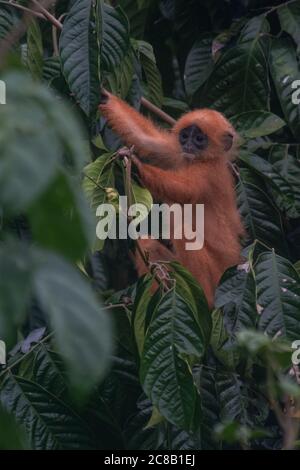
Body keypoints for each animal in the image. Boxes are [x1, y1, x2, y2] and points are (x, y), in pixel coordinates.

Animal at [98, 91, 244, 308]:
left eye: (199, 139)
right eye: (185, 136)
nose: (189, 145)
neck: (200, 160)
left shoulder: (209, 174)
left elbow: (184, 190)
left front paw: (137, 166)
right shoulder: (176, 153)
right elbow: (146, 139)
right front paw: (104, 97)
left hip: (218, 277)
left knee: (182, 229)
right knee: (148, 244)